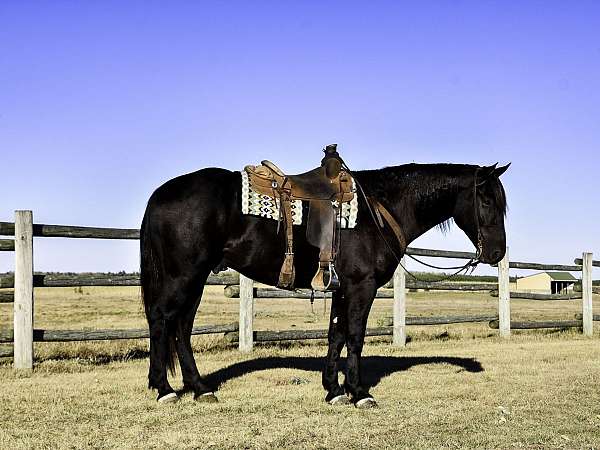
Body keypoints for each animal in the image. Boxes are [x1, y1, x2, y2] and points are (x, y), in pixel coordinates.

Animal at [139, 161, 506, 404]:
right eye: (487, 200)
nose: (498, 252)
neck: (381, 208)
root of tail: (160, 194)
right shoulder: (361, 286)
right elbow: (354, 337)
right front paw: (358, 393)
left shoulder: (342, 288)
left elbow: (336, 335)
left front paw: (333, 390)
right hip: (183, 275)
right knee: (161, 320)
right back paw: (164, 390)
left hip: (196, 278)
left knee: (182, 327)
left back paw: (200, 389)